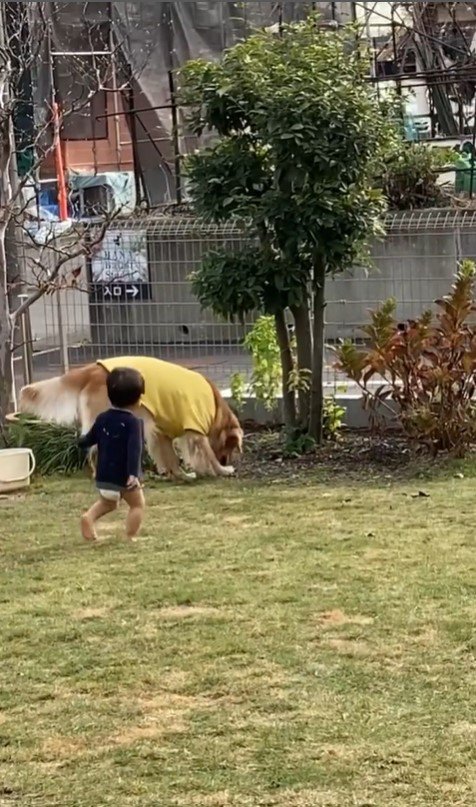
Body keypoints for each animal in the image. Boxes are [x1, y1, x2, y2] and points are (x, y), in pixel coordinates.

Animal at [18, 356, 244, 480]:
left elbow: (170, 457)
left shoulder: (161, 433)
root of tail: (91, 369)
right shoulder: (195, 430)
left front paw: (180, 475)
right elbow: (207, 455)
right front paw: (222, 470)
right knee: (96, 451)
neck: (214, 408)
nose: (228, 460)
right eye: (231, 448)